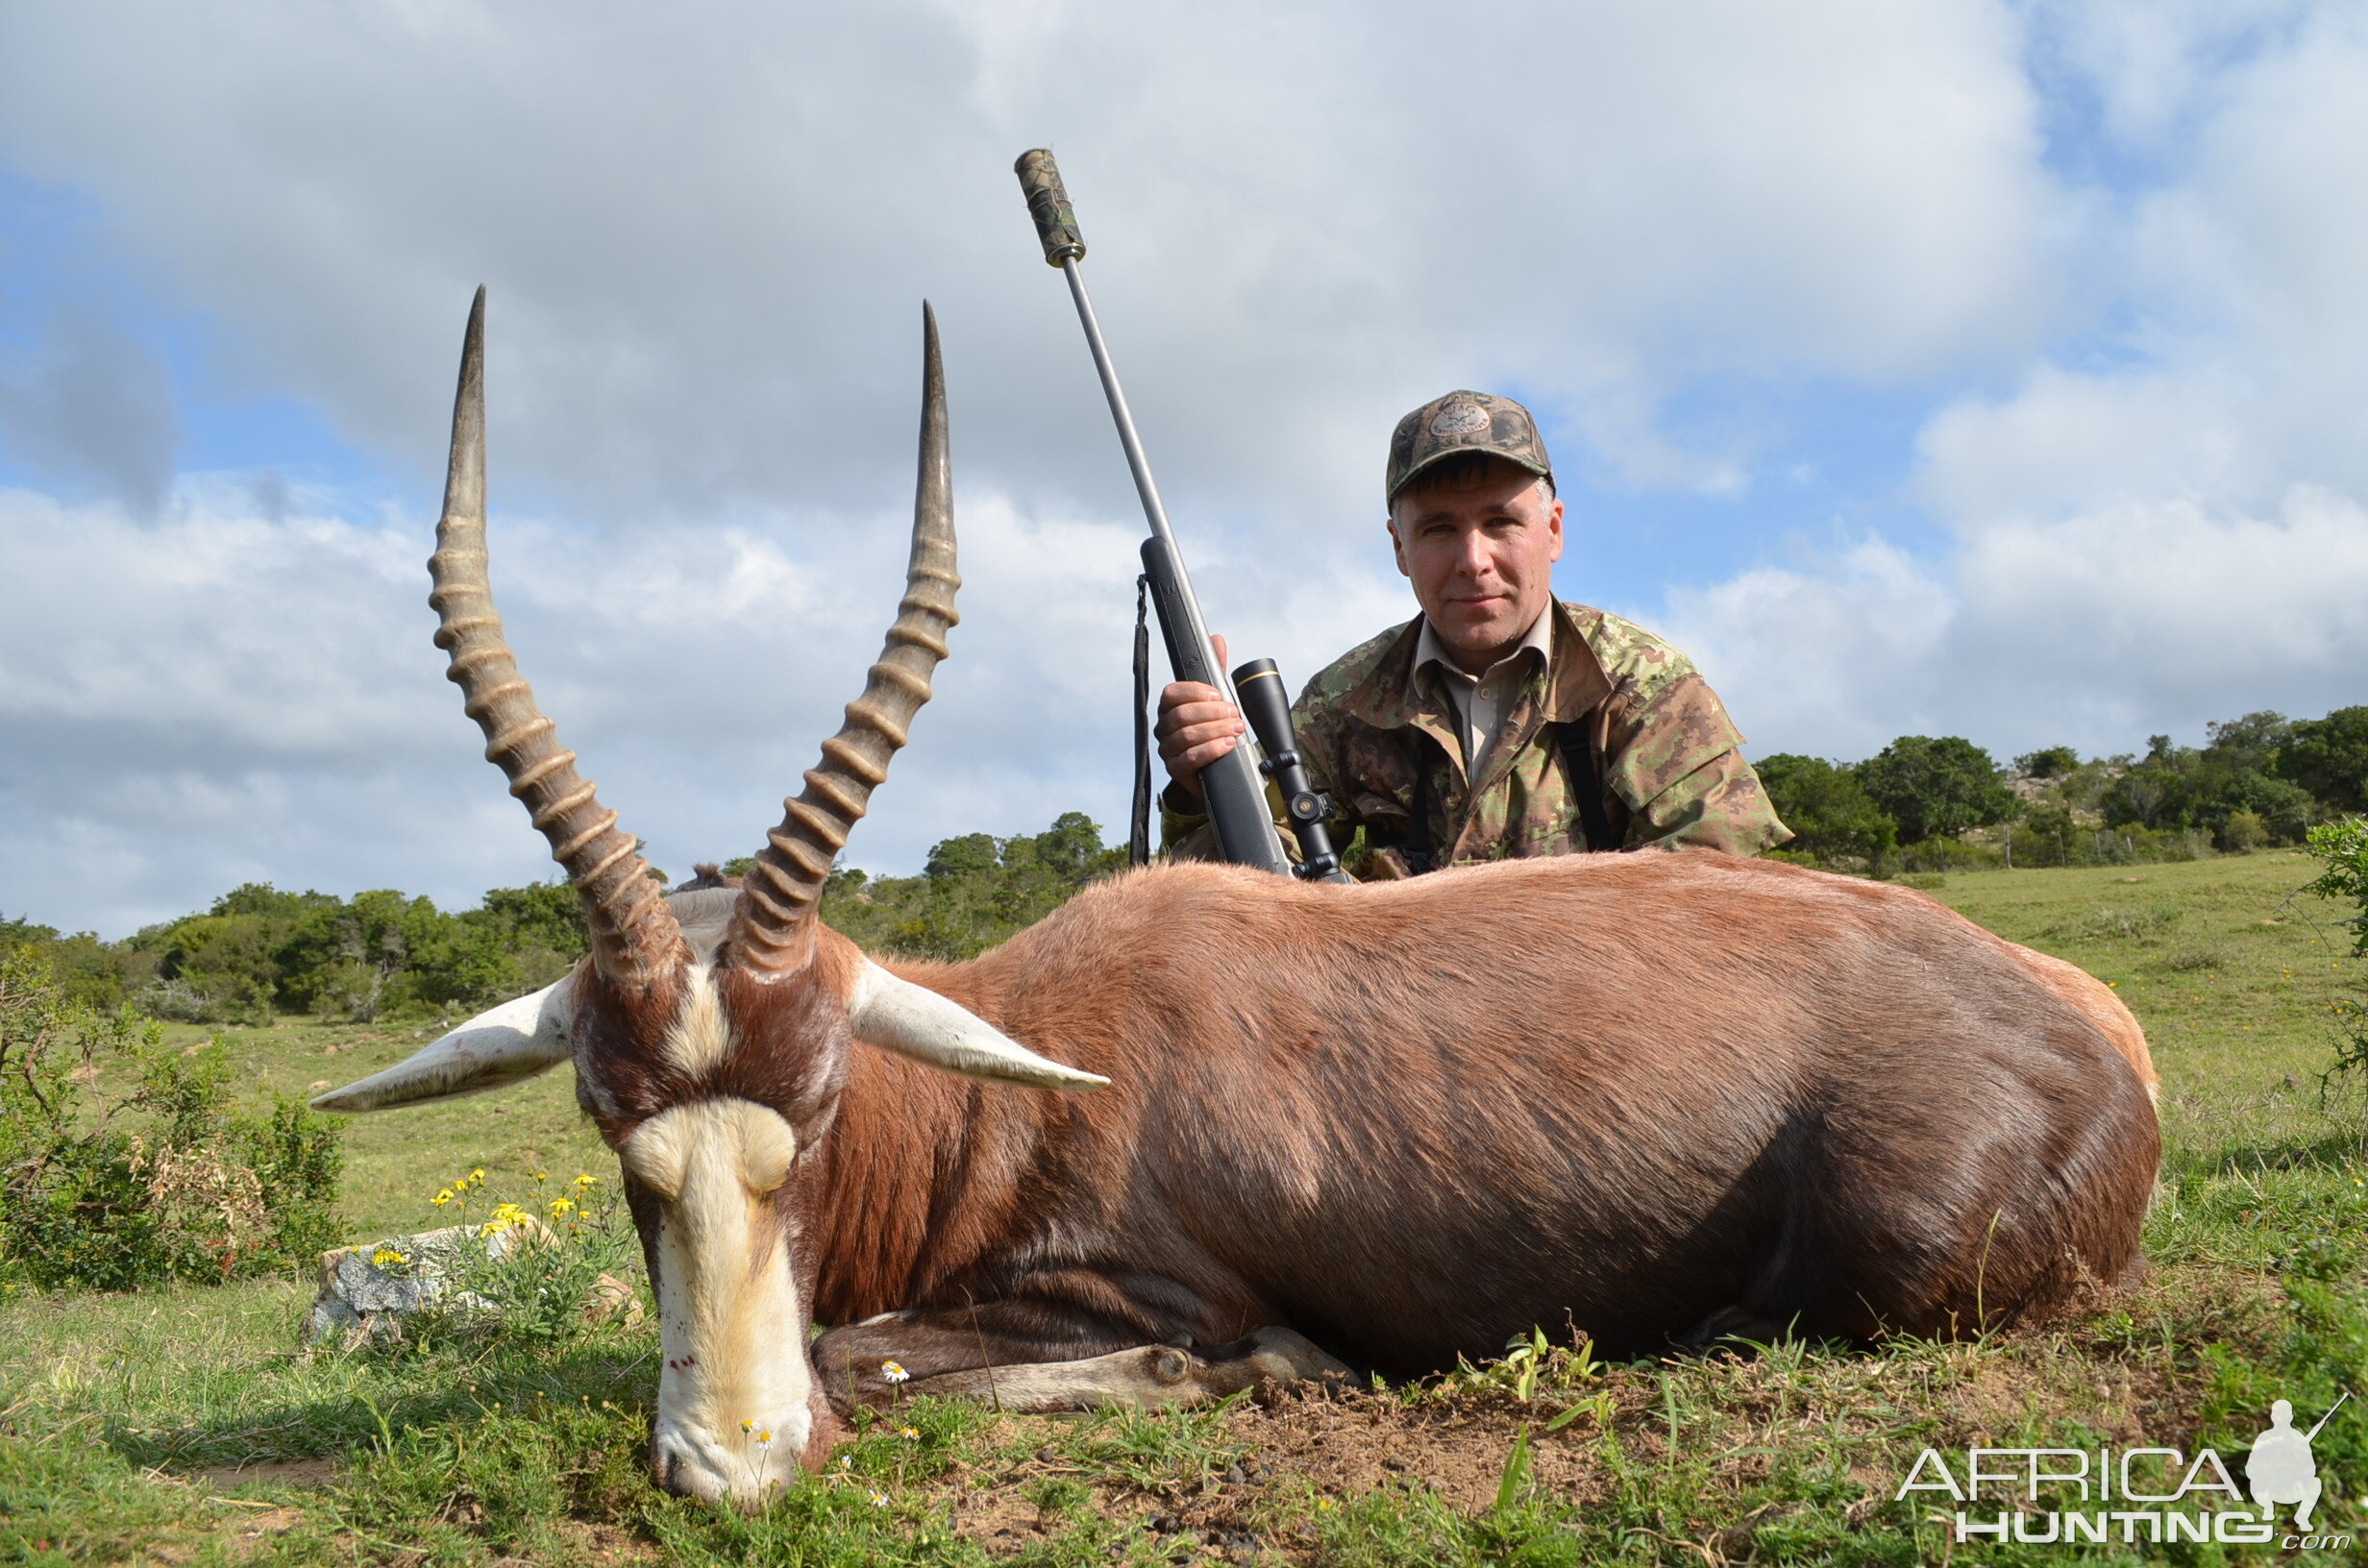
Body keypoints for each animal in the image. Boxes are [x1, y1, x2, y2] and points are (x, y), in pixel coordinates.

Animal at [319, 294, 2169, 1515]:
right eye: (604, 1115)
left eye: (824, 1100)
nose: (727, 1468)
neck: (1026, 1053)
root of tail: (2091, 1024)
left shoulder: (1146, 1289)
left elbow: (890, 1355)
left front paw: (1272, 1372)